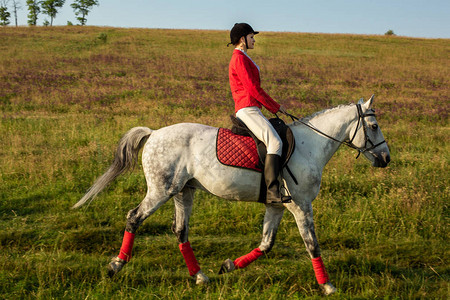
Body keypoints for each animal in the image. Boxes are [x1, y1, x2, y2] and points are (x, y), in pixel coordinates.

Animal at [74, 96, 390, 296]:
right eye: (374, 126)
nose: (386, 158)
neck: (309, 146)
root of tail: (153, 133)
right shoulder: (301, 206)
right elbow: (312, 245)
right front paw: (328, 286)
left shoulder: (277, 206)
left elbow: (266, 244)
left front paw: (228, 266)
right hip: (160, 190)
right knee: (134, 218)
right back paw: (116, 266)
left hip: (182, 191)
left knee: (180, 230)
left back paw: (200, 277)